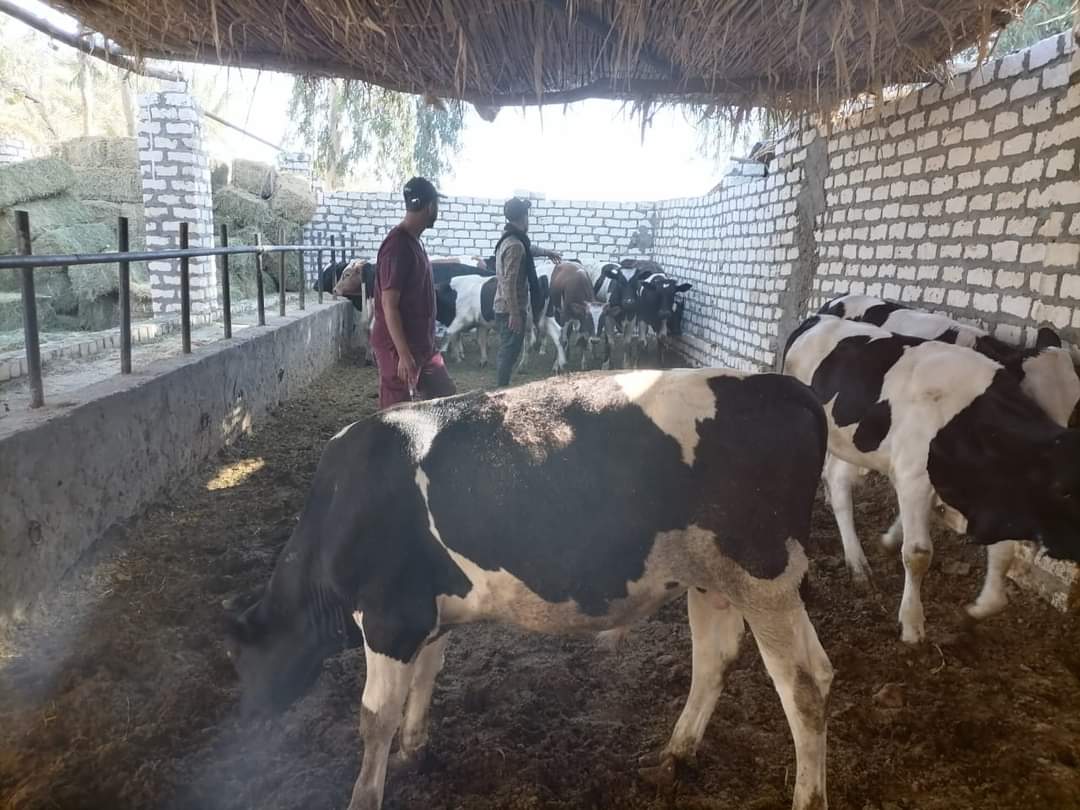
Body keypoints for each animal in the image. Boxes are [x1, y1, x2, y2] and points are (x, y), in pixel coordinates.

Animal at [224, 369, 833, 810]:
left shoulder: (389, 618)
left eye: (241, 658)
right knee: (728, 662)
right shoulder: (426, 612)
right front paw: (412, 750)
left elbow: (374, 718)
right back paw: (672, 758)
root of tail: (782, 385)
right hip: (719, 580)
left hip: (764, 578)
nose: (248, 715)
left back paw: (806, 797)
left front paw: (365, 793)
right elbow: (426, 677)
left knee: (803, 689)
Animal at [784, 314, 1080, 644]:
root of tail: (819, 317)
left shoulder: (997, 497)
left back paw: (856, 562)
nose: (1071, 548)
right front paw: (912, 624)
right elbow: (917, 553)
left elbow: (1002, 554)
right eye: (1064, 490)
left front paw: (977, 610)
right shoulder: (914, 479)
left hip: (851, 441)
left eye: (1075, 405)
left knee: (837, 481)